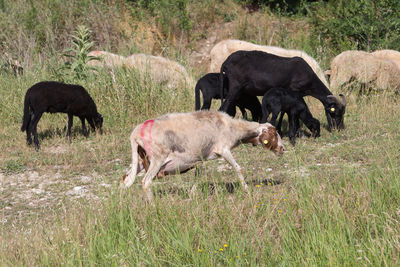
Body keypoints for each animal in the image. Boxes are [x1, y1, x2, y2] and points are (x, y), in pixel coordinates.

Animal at [121, 110, 284, 203]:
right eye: (275, 133)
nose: (283, 149)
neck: (233, 128)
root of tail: (135, 134)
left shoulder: (201, 157)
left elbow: (199, 174)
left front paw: (192, 194)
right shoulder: (223, 148)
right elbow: (238, 168)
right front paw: (247, 190)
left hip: (140, 160)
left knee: (126, 180)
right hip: (157, 159)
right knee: (145, 182)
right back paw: (152, 204)